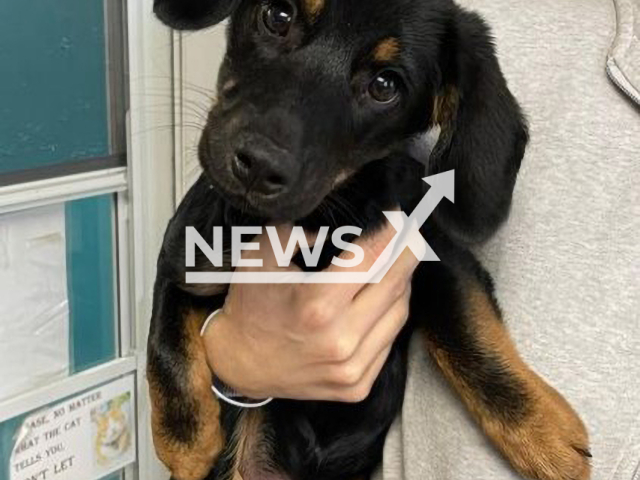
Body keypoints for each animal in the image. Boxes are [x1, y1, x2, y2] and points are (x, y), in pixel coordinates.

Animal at [148, 0, 592, 480]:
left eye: (385, 85)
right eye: (278, 16)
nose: (259, 165)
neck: (320, 220)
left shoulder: (438, 254)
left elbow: (470, 338)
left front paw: (544, 434)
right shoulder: (185, 253)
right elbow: (165, 339)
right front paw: (187, 444)